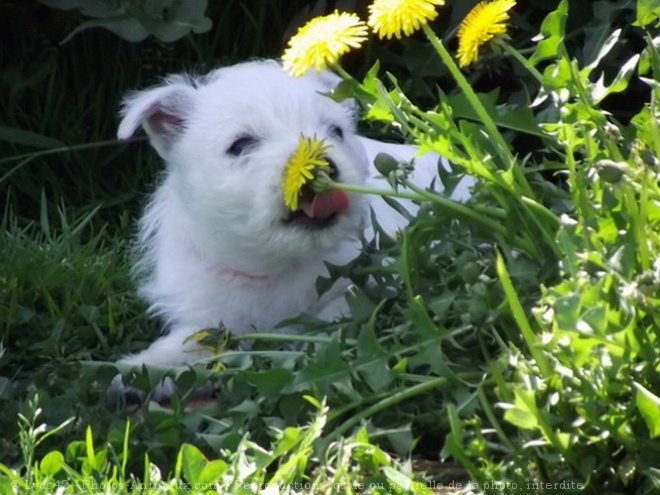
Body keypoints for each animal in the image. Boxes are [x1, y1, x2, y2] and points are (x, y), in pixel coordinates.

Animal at [117, 60, 470, 372]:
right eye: (241, 145)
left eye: (335, 131)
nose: (322, 167)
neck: (277, 264)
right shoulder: (211, 311)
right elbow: (195, 339)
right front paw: (137, 367)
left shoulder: (375, 275)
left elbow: (341, 308)